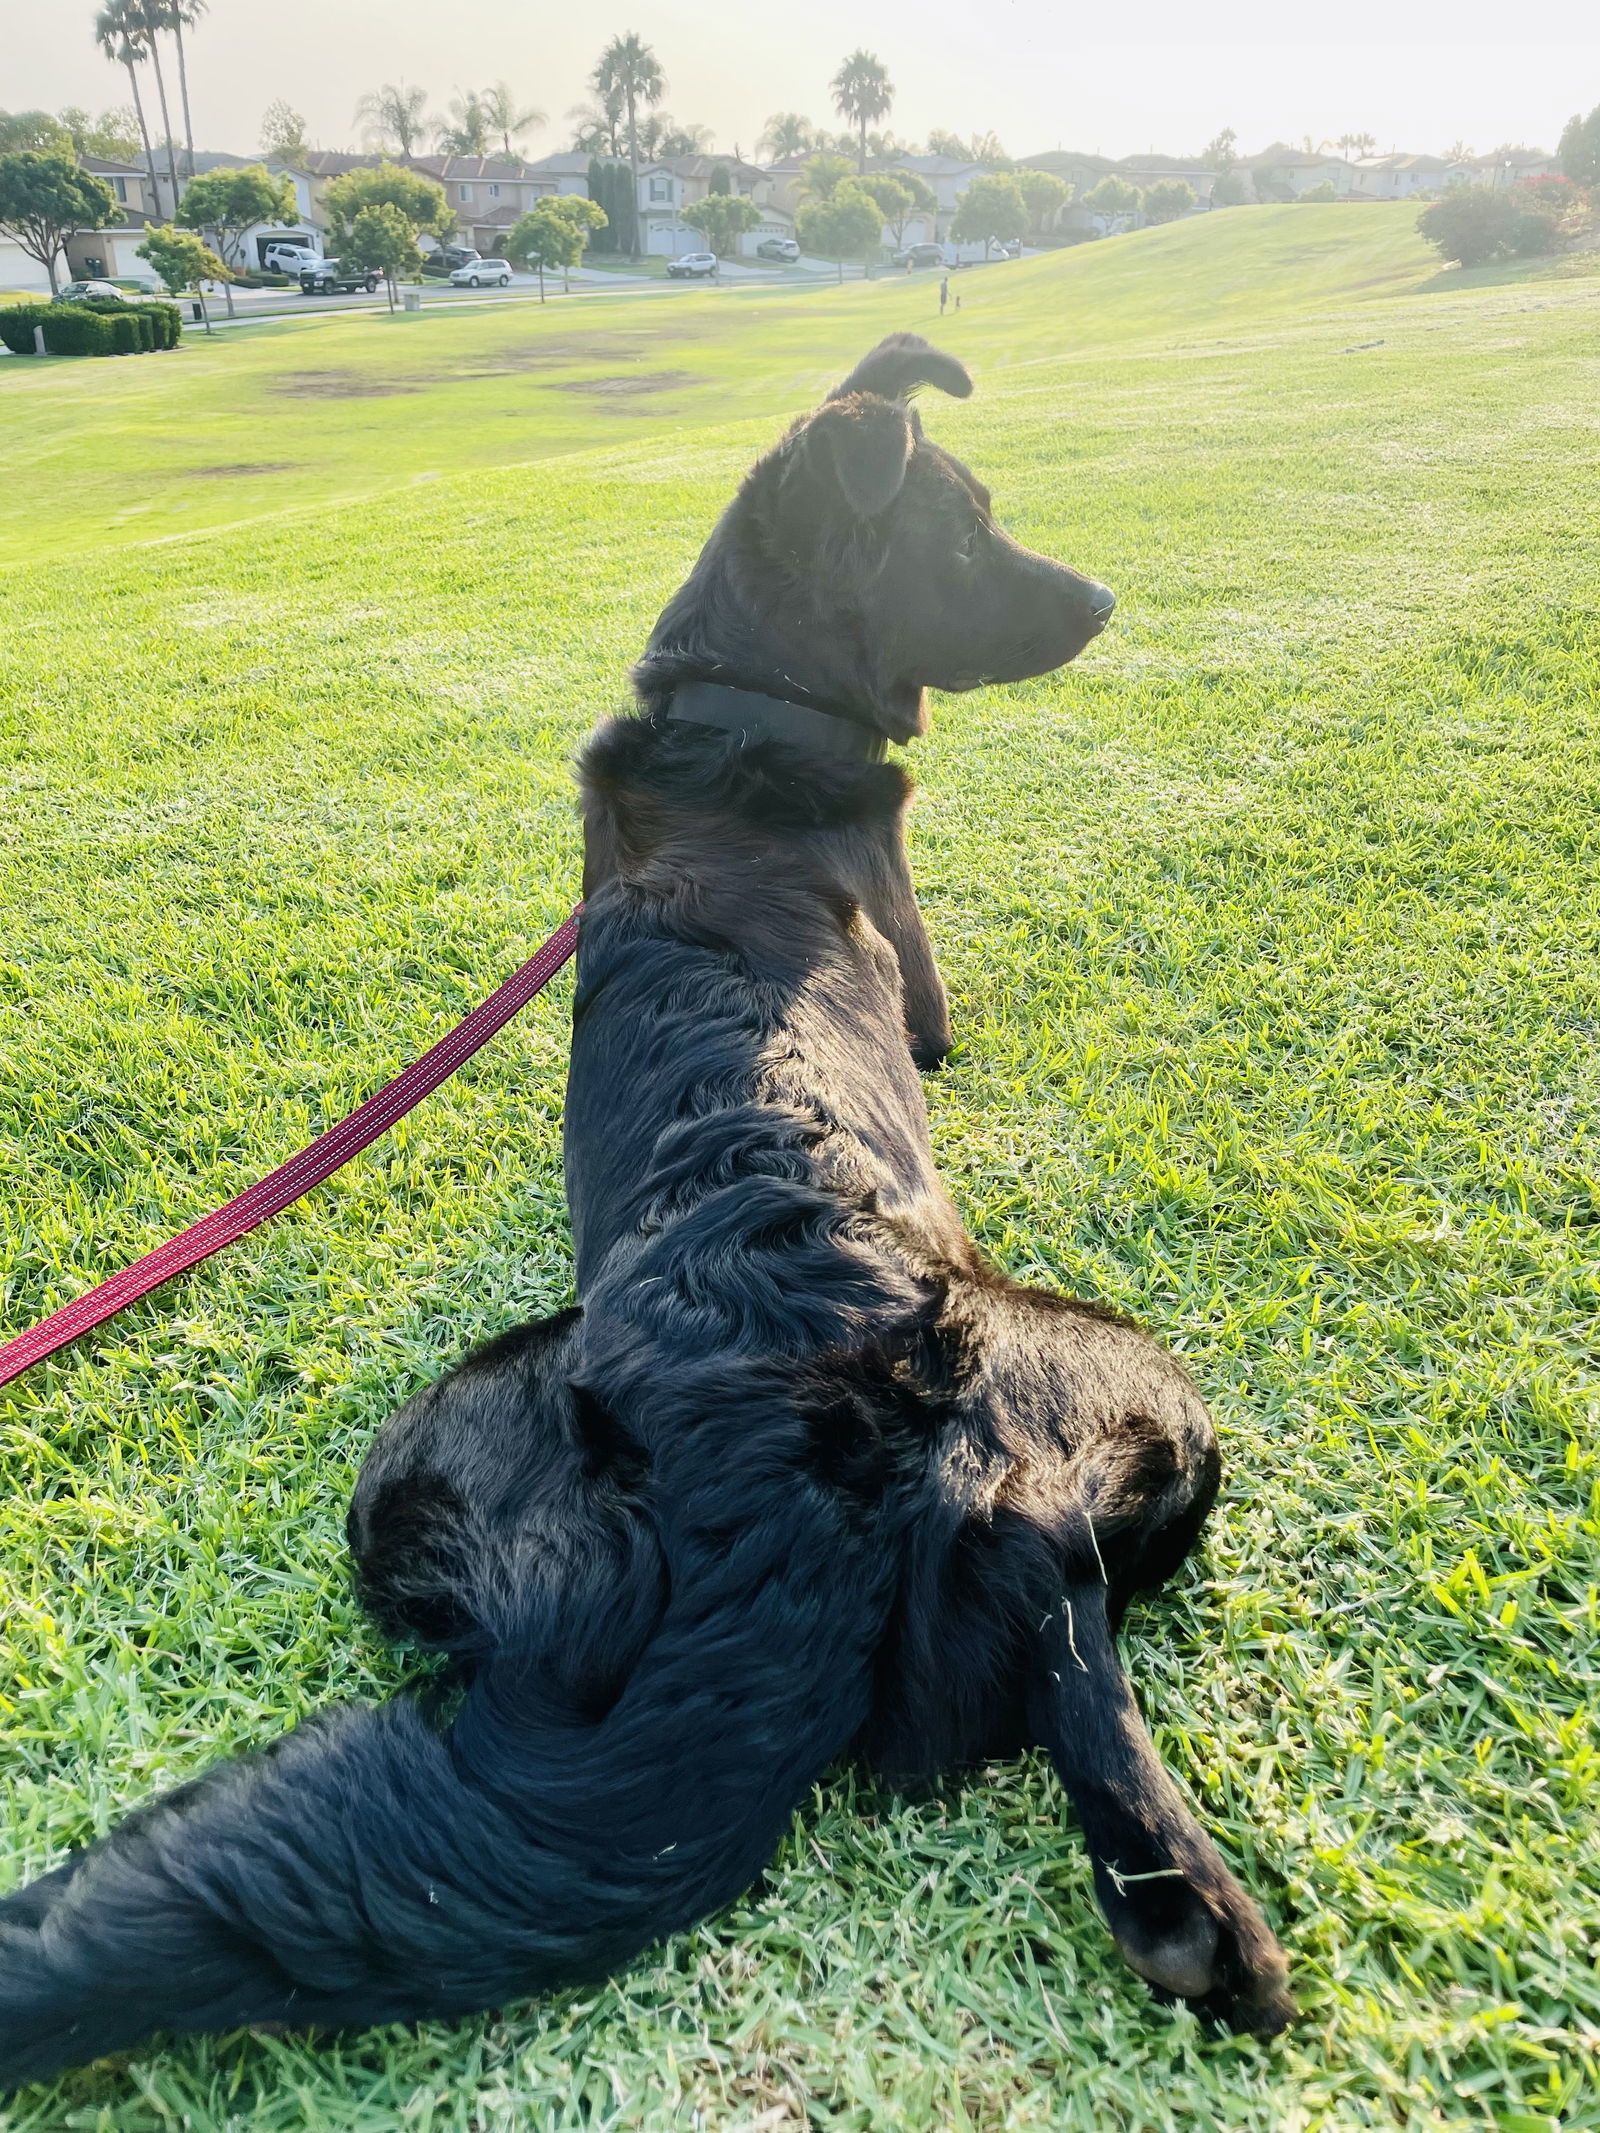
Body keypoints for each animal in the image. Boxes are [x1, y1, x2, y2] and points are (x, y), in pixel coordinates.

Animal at [0, 337, 1297, 2081]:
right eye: (966, 529)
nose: (1100, 599)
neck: (739, 709)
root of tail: (780, 1488)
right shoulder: (916, 955)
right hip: (1134, 1399)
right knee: (1058, 1577)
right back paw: (1197, 1912)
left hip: (401, 1497)